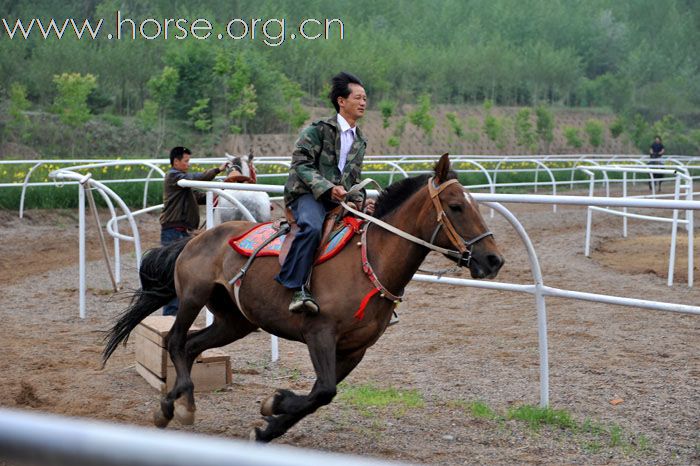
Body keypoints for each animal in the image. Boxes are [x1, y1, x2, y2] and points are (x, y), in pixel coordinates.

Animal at [102, 155, 504, 442]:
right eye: (456, 206)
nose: (493, 260)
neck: (369, 261)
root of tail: (199, 236)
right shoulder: (319, 333)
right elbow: (323, 390)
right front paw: (274, 406)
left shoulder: (355, 349)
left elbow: (319, 395)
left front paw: (270, 421)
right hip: (192, 297)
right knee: (174, 340)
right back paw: (172, 407)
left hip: (235, 320)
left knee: (191, 346)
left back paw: (181, 404)